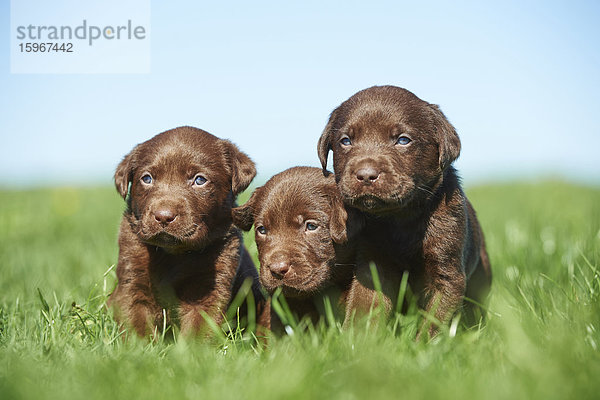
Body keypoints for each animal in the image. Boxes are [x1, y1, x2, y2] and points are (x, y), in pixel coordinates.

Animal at [109, 126, 264, 338]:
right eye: (147, 178)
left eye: (199, 180)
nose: (163, 216)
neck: (173, 255)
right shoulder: (131, 282)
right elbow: (136, 325)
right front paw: (139, 345)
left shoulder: (210, 288)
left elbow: (198, 329)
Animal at [318, 87, 492, 338]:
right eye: (346, 141)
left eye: (403, 140)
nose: (366, 174)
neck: (399, 219)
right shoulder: (372, 265)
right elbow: (366, 306)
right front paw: (357, 341)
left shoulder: (446, 272)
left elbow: (435, 320)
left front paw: (425, 346)